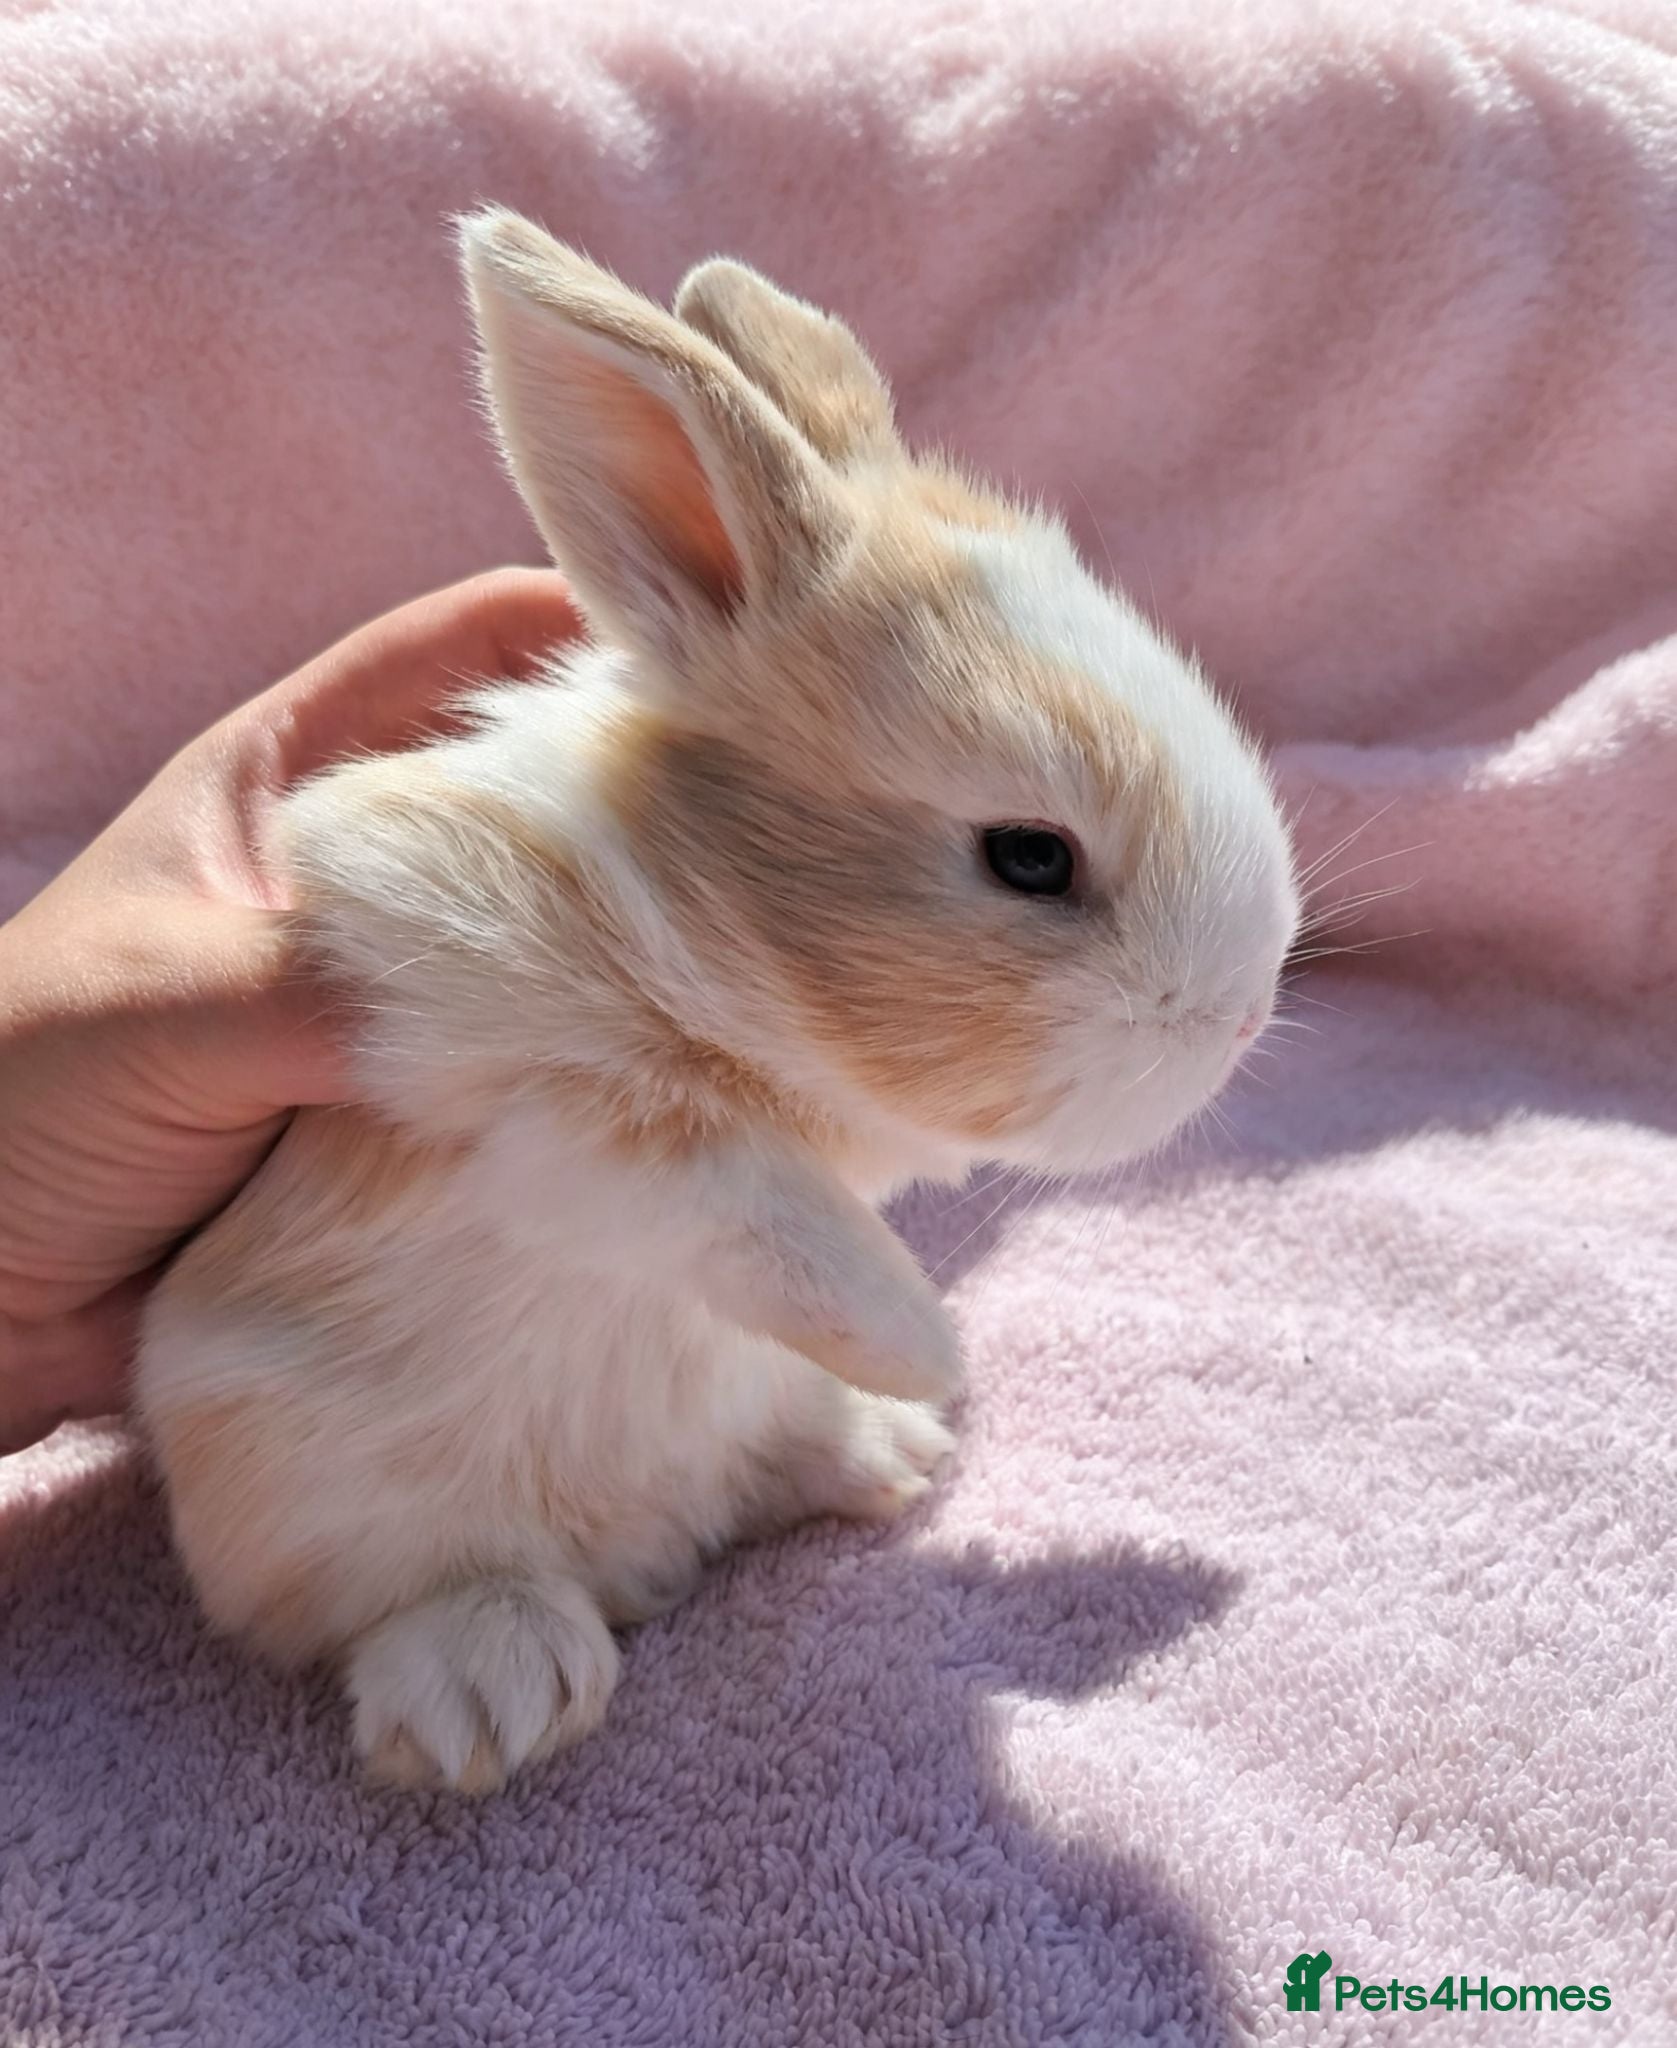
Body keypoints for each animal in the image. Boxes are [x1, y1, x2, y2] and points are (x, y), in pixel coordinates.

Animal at [135, 207, 1300, 1793]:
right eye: (1029, 856)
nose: (1243, 1015)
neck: (705, 923)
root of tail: (648, 1547)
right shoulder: (498, 1049)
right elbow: (731, 1192)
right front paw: (929, 1339)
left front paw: (926, 1384)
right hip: (303, 1465)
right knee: (385, 1591)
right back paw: (499, 1685)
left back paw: (884, 1454)